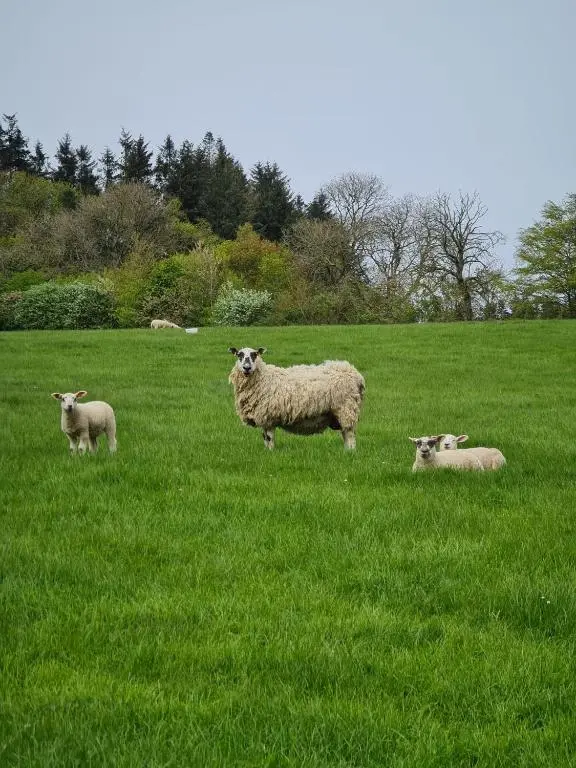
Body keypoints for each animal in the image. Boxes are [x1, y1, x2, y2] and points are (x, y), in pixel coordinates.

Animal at [228, 347, 365, 450]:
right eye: (239, 355)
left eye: (254, 355)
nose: (247, 367)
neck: (263, 378)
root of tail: (355, 374)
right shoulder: (263, 418)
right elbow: (265, 438)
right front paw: (266, 451)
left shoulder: (269, 416)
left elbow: (270, 438)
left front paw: (271, 452)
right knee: (345, 433)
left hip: (346, 409)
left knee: (350, 434)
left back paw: (350, 452)